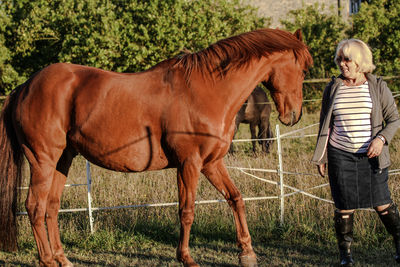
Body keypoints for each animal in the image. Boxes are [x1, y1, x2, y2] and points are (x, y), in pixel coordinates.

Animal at [0, 27, 312, 267]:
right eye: (302, 70)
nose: (293, 115)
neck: (206, 90)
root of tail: (26, 86)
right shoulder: (189, 164)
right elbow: (186, 211)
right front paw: (186, 258)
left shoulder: (212, 163)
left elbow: (236, 199)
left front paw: (247, 253)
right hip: (42, 160)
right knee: (34, 207)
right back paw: (47, 260)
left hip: (62, 159)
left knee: (51, 208)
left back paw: (62, 259)